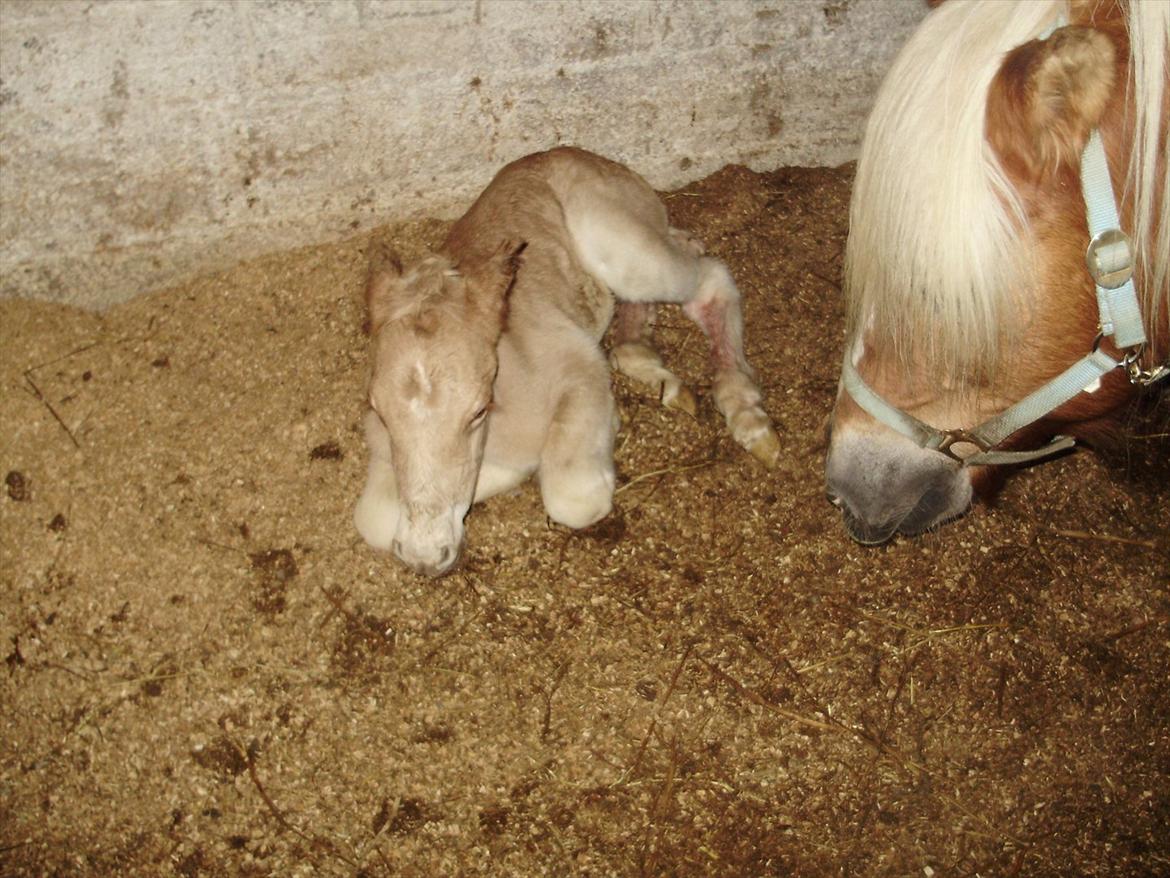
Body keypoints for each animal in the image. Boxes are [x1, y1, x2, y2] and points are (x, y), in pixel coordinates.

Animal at [353, 146, 776, 578]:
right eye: (380, 412)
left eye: (478, 411)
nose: (423, 556)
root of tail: (589, 156)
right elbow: (374, 518)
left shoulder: (579, 362)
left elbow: (574, 495)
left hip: (625, 248)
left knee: (709, 279)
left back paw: (748, 416)